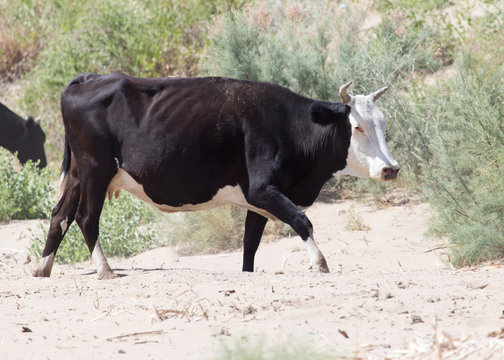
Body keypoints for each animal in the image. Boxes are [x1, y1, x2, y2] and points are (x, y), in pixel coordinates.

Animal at [33, 73, 400, 280]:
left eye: (383, 124)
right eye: (357, 126)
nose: (391, 168)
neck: (290, 125)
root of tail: (89, 77)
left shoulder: (258, 201)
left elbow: (250, 244)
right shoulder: (263, 190)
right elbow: (302, 220)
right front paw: (320, 263)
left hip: (79, 174)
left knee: (60, 215)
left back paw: (43, 268)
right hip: (96, 169)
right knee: (86, 218)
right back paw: (105, 270)